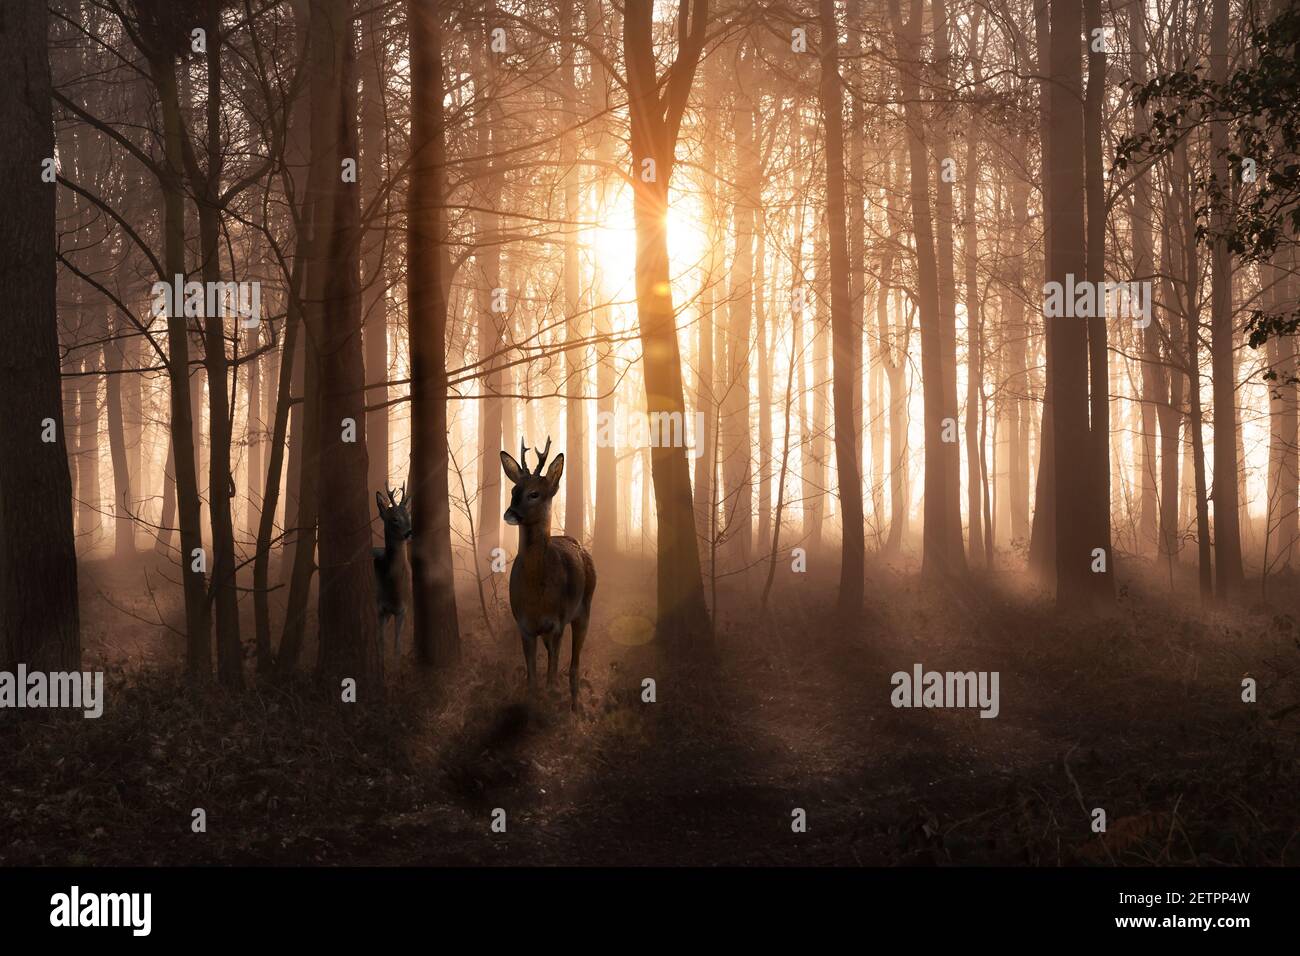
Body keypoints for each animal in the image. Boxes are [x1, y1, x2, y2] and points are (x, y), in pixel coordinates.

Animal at [499, 439, 595, 712]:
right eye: (513, 490)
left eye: (534, 493)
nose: (510, 513)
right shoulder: (524, 626)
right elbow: (532, 680)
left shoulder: (557, 622)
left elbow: (552, 678)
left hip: (584, 609)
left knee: (574, 665)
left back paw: (575, 707)